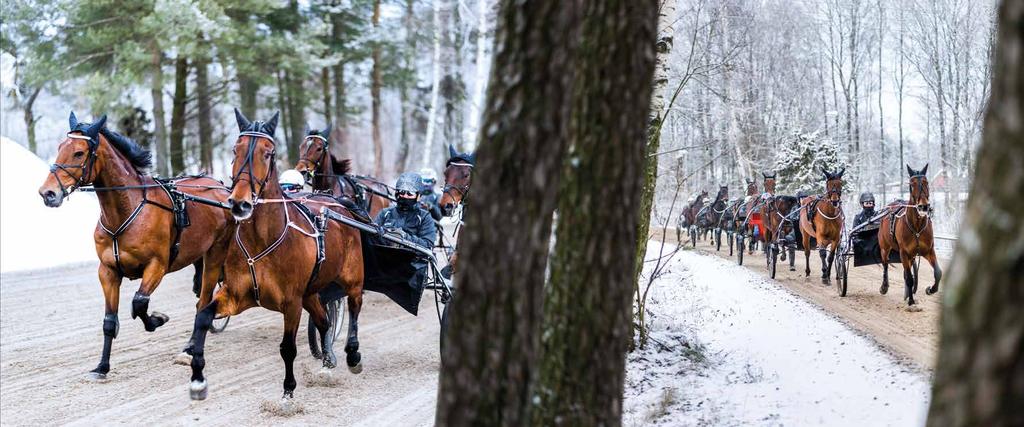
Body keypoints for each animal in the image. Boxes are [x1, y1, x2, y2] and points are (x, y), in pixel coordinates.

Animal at [37, 112, 232, 378]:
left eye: (78, 153)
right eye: (59, 148)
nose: (47, 193)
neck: (126, 210)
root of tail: (222, 189)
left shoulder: (157, 266)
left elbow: (139, 303)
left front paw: (158, 319)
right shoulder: (108, 271)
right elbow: (109, 321)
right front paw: (102, 366)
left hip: (216, 253)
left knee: (203, 299)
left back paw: (190, 347)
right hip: (198, 255)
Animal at [186, 109, 366, 399]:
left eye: (268, 153)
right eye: (235, 149)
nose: (240, 203)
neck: (262, 241)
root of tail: (337, 203)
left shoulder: (291, 302)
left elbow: (287, 347)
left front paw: (288, 392)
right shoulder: (237, 294)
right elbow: (202, 316)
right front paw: (197, 379)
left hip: (352, 277)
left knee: (354, 305)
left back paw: (352, 355)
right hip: (310, 292)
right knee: (324, 321)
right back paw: (328, 360)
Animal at [876, 162, 937, 307]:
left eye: (926, 182)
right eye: (912, 184)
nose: (923, 206)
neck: (917, 227)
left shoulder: (928, 251)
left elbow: (938, 273)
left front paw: (930, 289)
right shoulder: (904, 252)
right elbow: (909, 278)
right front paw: (911, 301)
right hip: (884, 247)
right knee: (885, 263)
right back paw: (884, 286)